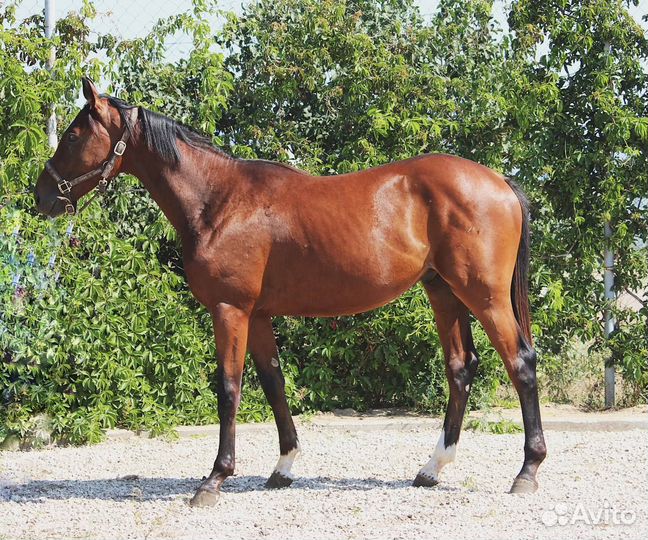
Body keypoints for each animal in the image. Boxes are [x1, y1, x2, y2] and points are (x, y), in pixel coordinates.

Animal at [35, 78, 546, 507]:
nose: (42, 196)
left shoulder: (230, 310)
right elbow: (273, 382)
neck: (218, 200)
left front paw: (214, 480)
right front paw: (283, 466)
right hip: (444, 292)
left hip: (484, 296)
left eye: (74, 135)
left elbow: (229, 388)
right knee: (461, 368)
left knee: (520, 362)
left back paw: (527, 471)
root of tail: (501, 182)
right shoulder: (257, 314)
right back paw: (431, 469)